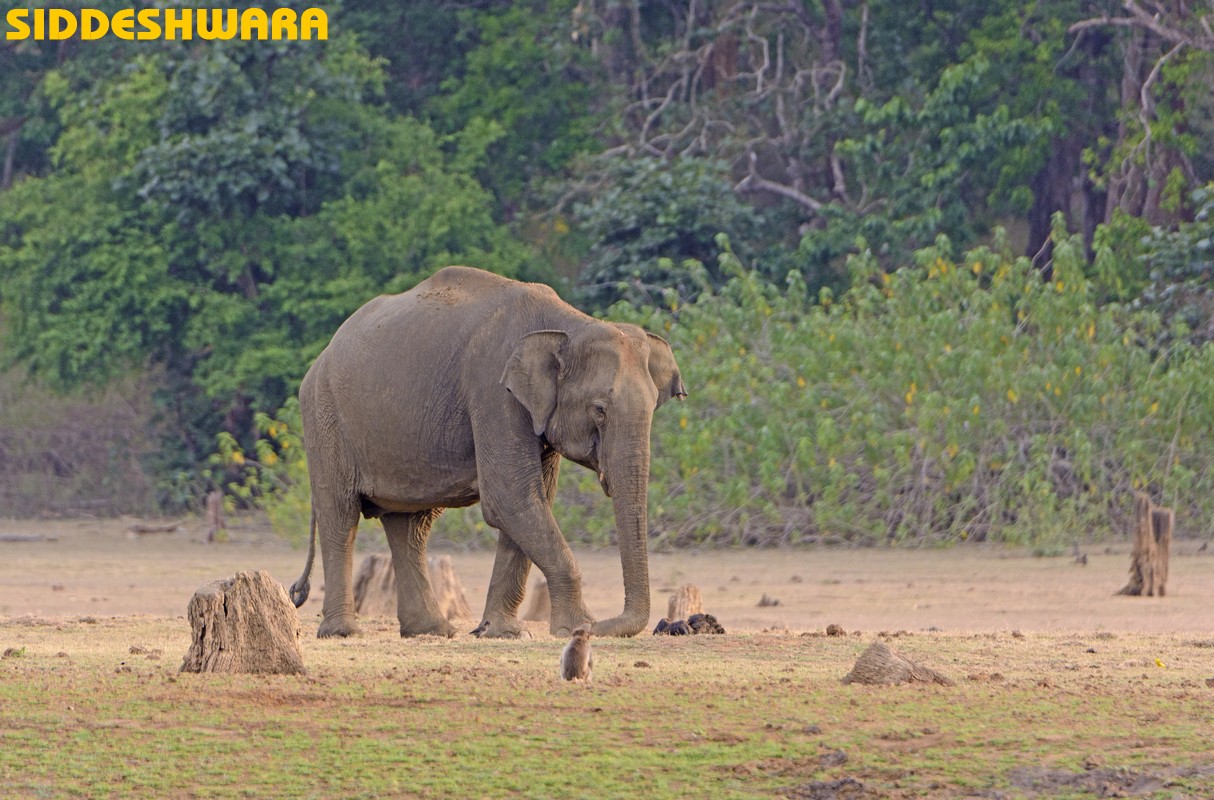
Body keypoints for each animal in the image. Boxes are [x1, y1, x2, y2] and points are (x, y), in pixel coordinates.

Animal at [284, 265, 684, 640]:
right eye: (599, 409)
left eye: (654, 407)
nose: (601, 625)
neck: (567, 324)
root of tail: (321, 357)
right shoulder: (494, 392)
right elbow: (511, 497)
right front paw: (575, 628)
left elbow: (531, 500)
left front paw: (501, 631)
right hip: (324, 416)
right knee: (341, 515)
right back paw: (344, 631)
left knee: (409, 525)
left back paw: (432, 630)